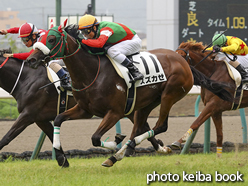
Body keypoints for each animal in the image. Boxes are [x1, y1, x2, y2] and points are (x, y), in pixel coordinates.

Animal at [26, 25, 233, 167]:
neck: (92, 73)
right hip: (146, 103)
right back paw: (119, 154)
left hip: (169, 94)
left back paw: (128, 150)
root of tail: (182, 60)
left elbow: (95, 138)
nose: (31, 59)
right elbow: (58, 119)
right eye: (40, 37)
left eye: (52, 39)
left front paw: (116, 140)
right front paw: (62, 158)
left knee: (160, 126)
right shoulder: (85, 110)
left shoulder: (114, 112)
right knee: (140, 127)